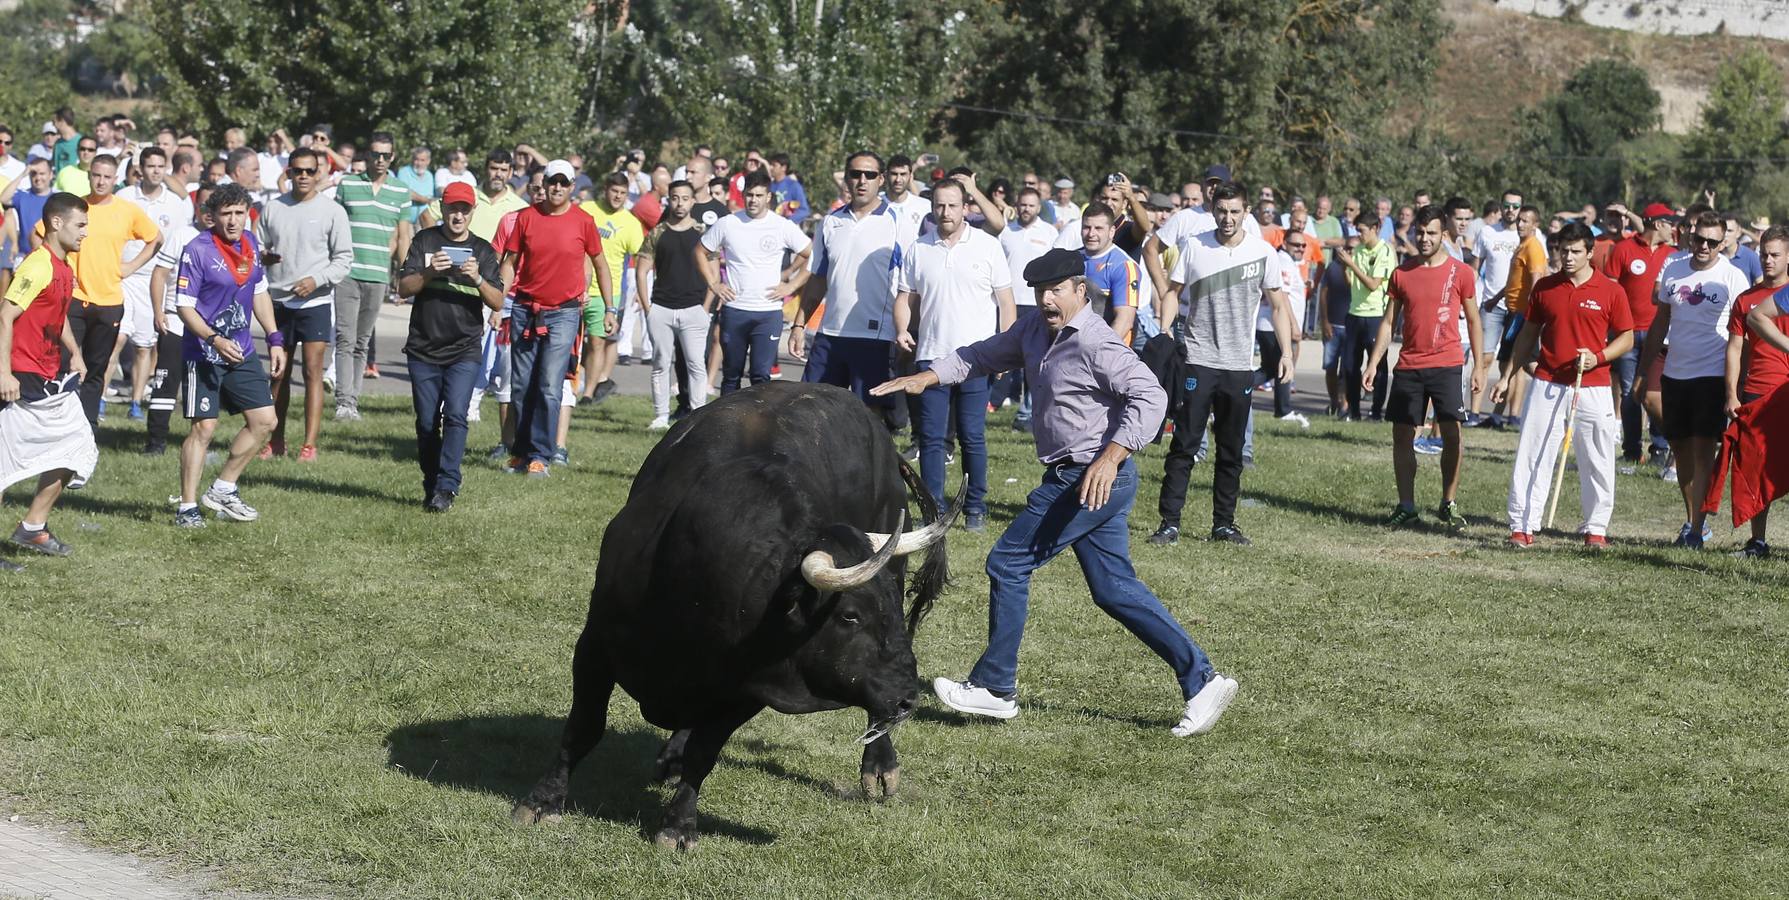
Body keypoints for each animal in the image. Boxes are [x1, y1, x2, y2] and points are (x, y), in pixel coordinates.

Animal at [511, 382, 966, 851]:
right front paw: (543, 801)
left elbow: (704, 755)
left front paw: (678, 825)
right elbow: (584, 727)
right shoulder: (595, 645)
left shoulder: (748, 688)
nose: (908, 699)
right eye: (850, 617)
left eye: (893, 605)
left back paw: (879, 765)